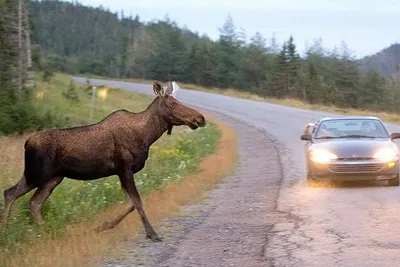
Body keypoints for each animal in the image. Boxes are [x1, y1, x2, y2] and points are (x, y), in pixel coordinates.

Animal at [3, 80, 206, 242]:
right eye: (172, 103)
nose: (200, 118)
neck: (147, 136)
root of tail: (26, 143)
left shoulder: (122, 172)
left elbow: (131, 203)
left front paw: (103, 226)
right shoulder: (124, 167)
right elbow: (138, 201)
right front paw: (152, 234)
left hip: (53, 178)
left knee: (33, 202)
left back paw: (44, 233)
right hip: (36, 173)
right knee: (10, 193)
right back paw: (7, 232)